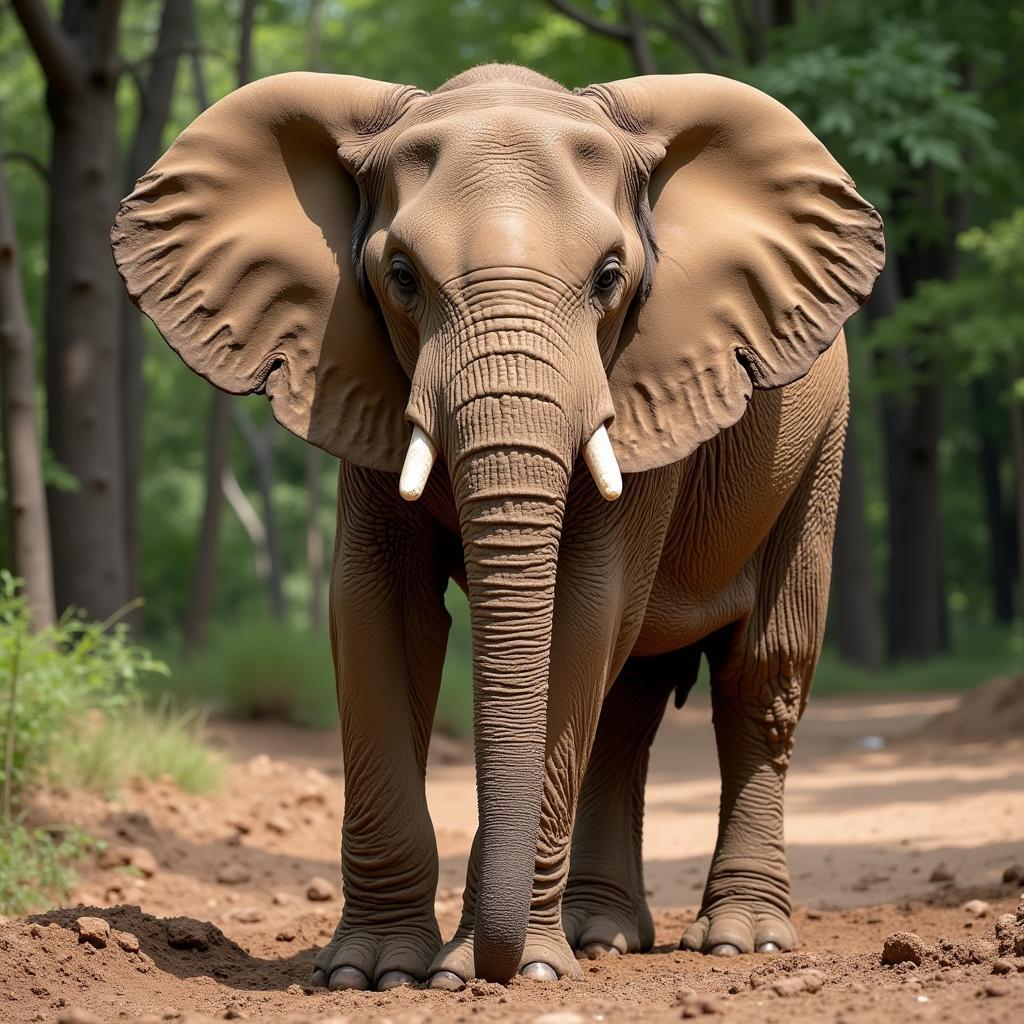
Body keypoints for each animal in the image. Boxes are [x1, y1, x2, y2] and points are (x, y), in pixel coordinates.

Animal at [110, 61, 880, 991]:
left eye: (610, 276)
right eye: (401, 275)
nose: (497, 968)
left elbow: (582, 611)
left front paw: (499, 969)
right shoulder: (364, 381)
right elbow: (377, 609)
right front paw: (373, 973)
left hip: (822, 447)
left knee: (760, 678)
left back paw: (741, 940)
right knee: (629, 700)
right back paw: (601, 935)